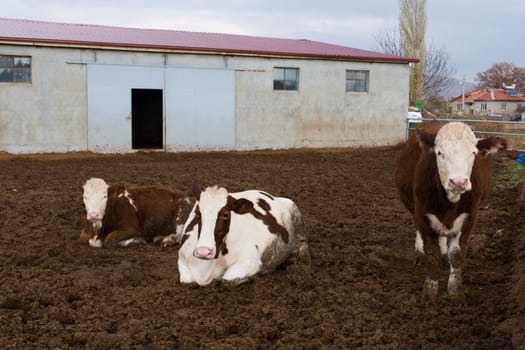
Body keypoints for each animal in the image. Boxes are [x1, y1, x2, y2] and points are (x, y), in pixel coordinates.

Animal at [177, 183, 308, 288]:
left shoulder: (250, 260)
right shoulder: (182, 256)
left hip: (294, 210)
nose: (203, 252)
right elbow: (187, 282)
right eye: (198, 213)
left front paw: (249, 278)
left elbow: (228, 280)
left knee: (302, 241)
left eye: (225, 214)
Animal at [396, 121, 506, 300]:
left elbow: (457, 254)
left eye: (473, 153)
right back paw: (419, 253)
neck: (450, 202)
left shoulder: (470, 218)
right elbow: (431, 253)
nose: (458, 182)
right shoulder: (423, 215)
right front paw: (430, 291)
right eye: (439, 152)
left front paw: (455, 292)